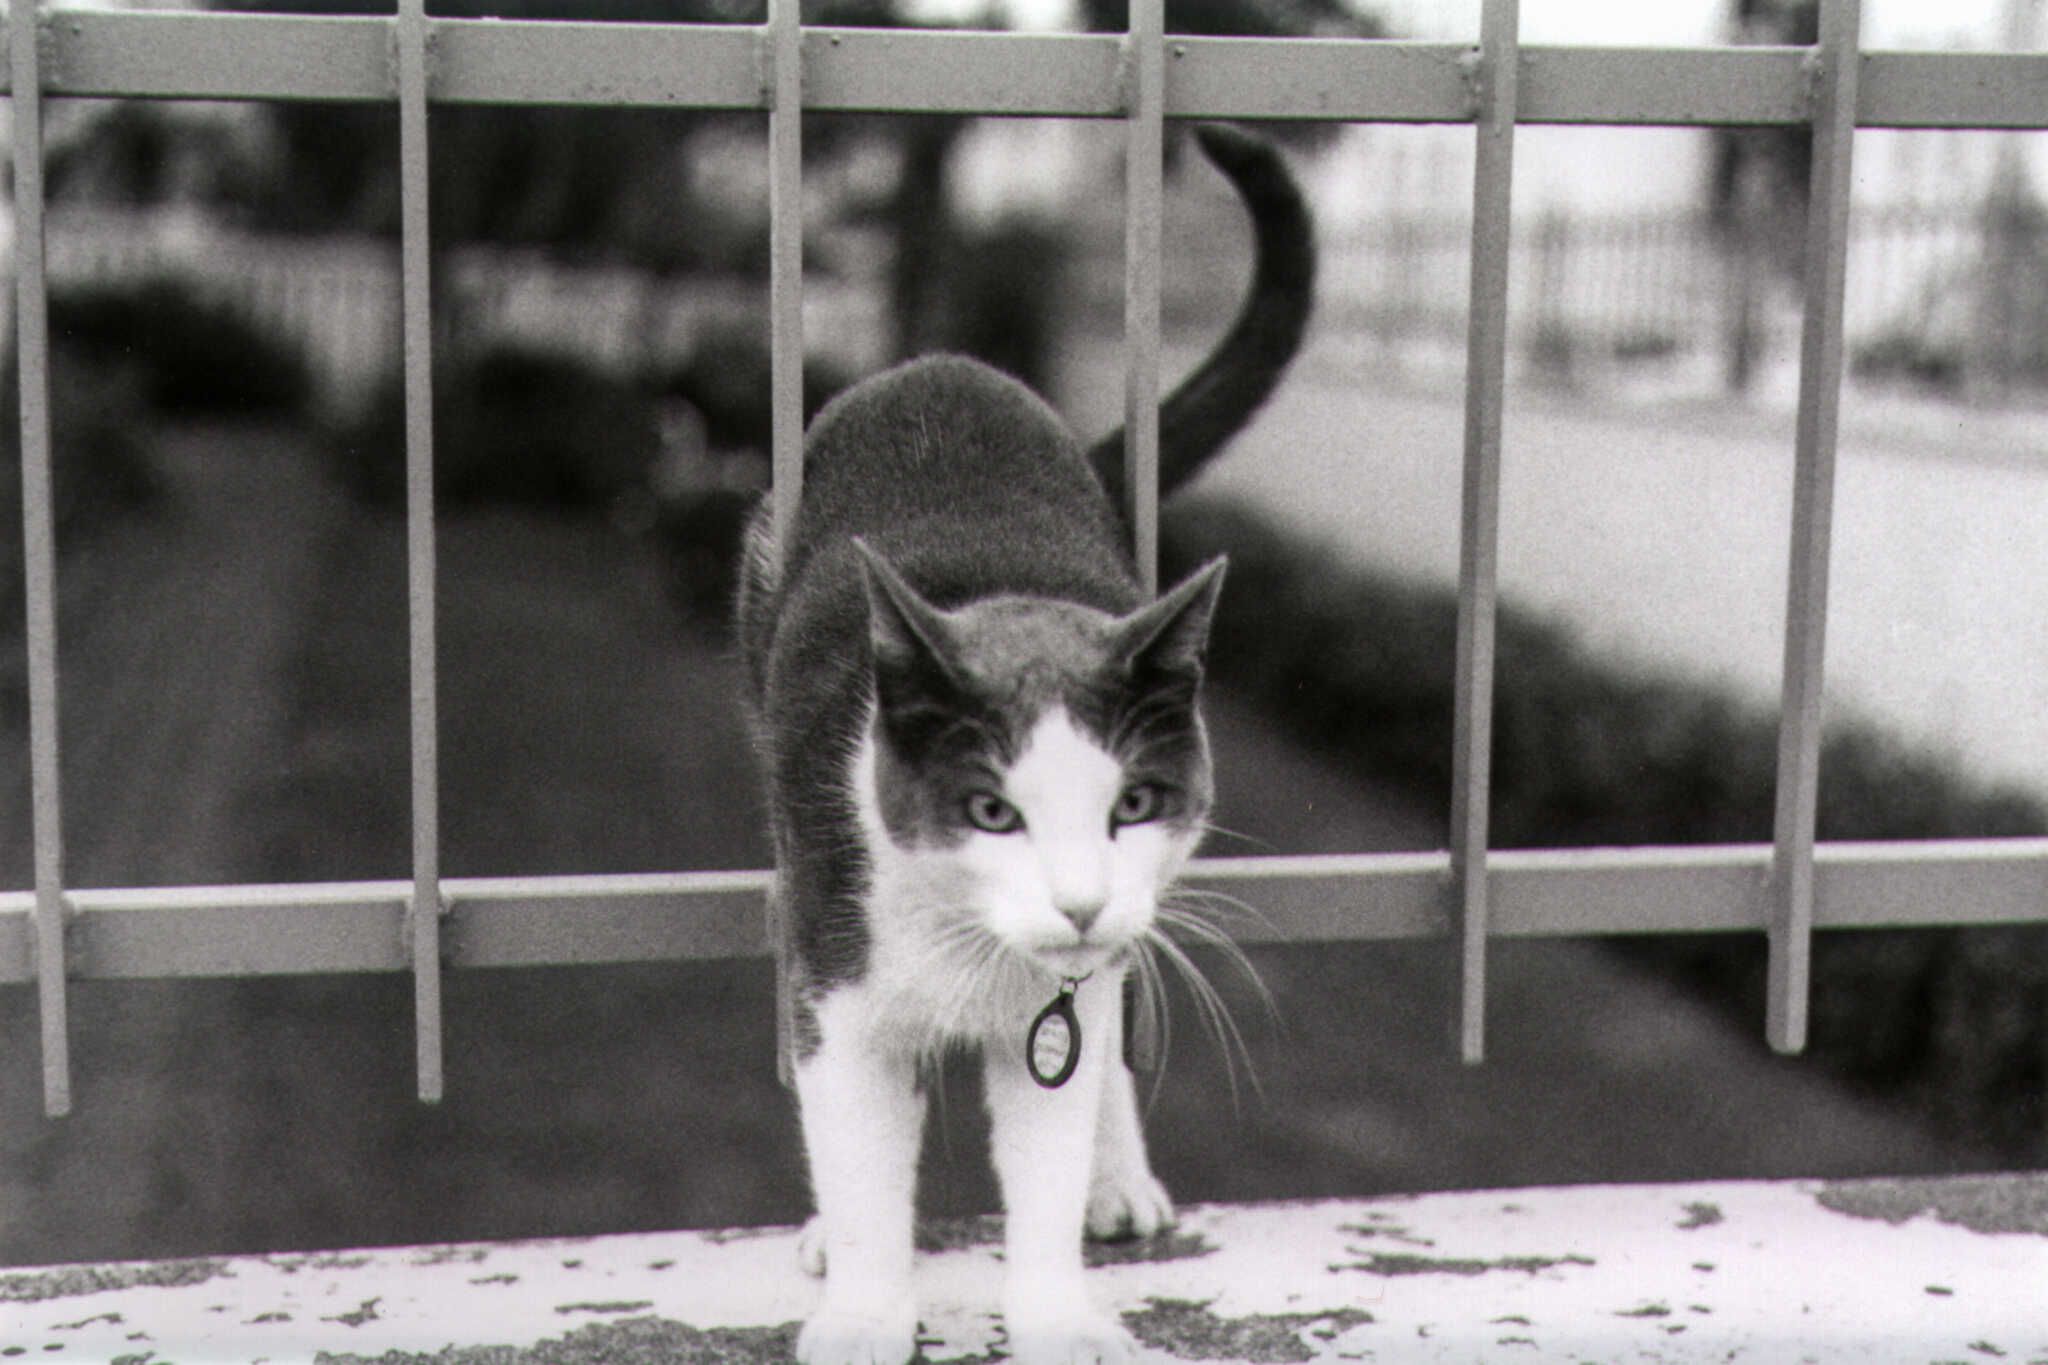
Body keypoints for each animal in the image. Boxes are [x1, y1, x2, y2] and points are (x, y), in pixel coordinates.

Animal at [737, 127, 1310, 1365]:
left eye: (1132, 803)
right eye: (991, 811)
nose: (1080, 902)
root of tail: (942, 364)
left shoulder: (1070, 1006)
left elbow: (1053, 1131)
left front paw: (1059, 1314)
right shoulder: (838, 965)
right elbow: (857, 1142)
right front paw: (863, 1309)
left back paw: (1116, 1179)